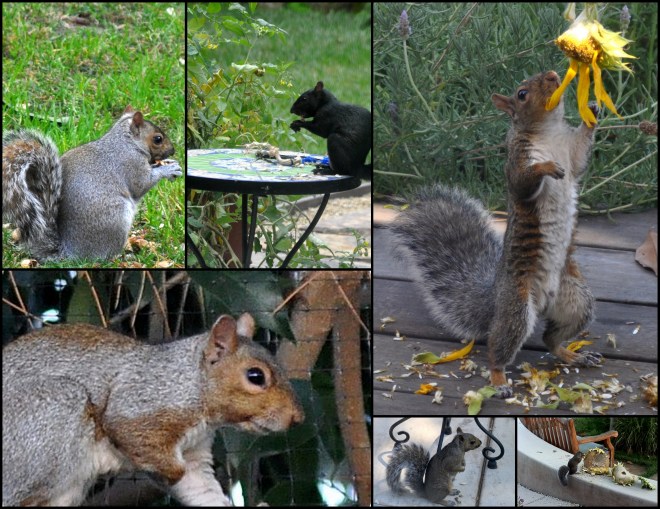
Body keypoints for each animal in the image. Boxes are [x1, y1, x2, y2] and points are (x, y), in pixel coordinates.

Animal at [2, 106, 182, 261]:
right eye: (158, 139)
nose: (173, 151)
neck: (127, 141)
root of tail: (70, 252)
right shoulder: (131, 164)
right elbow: (141, 184)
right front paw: (169, 169)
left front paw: (169, 163)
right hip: (117, 219)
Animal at [2, 313, 304, 507]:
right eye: (255, 376)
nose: (297, 417)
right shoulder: (142, 403)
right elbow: (133, 437)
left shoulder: (195, 453)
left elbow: (200, 487)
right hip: (51, 414)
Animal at [390, 70, 603, 398]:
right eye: (522, 94)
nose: (554, 75)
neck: (549, 132)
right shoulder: (517, 161)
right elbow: (523, 181)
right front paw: (545, 166)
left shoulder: (571, 153)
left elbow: (579, 158)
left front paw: (591, 110)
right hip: (517, 307)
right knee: (497, 348)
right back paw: (499, 380)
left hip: (576, 299)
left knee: (551, 339)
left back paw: (572, 354)